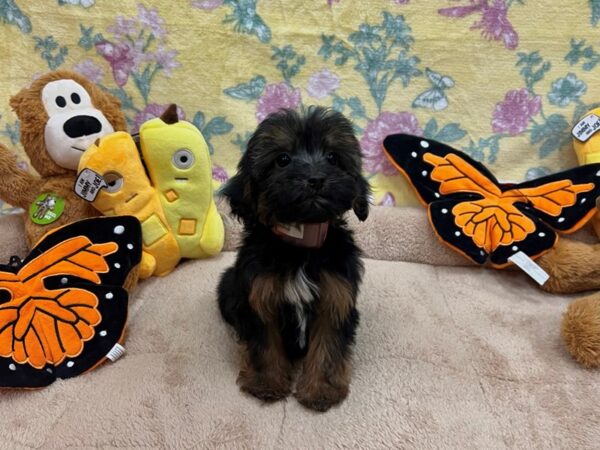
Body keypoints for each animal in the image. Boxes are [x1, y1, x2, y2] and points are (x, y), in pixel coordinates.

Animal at [219, 105, 370, 412]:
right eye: (283, 160)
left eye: (333, 157)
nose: (315, 179)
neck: (301, 244)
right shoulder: (260, 294)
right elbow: (264, 343)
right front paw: (266, 383)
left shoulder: (336, 296)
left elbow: (328, 347)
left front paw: (321, 391)